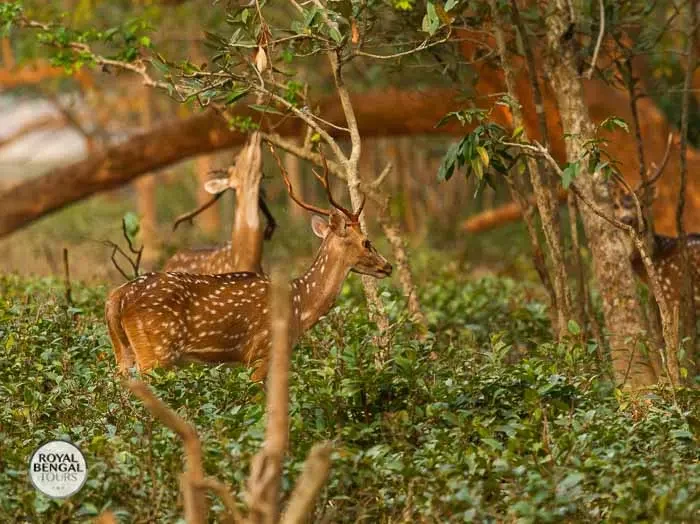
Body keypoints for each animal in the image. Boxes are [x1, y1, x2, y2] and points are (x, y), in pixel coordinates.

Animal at [105, 152, 393, 382]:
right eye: (366, 241)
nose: (388, 266)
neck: (300, 306)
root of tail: (116, 298)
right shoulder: (262, 351)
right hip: (157, 351)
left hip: (123, 352)